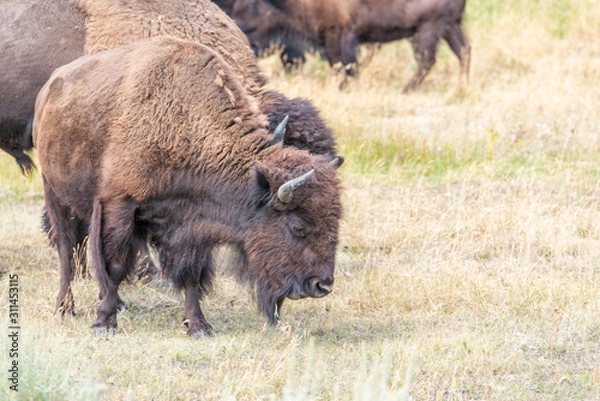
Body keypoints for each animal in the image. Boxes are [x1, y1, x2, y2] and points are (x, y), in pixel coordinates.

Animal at [32, 37, 342, 336]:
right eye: (298, 226)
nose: (322, 285)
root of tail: (49, 87)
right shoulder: (119, 203)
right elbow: (116, 264)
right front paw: (104, 323)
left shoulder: (192, 223)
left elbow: (192, 274)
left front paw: (198, 326)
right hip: (54, 192)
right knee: (66, 248)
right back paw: (65, 308)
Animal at [232, 0, 472, 92]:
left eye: (251, 4)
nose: (238, 26)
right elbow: (341, 65)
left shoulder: (340, 34)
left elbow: (345, 65)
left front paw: (344, 87)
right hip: (450, 28)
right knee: (464, 51)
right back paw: (462, 85)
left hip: (427, 29)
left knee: (427, 59)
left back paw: (406, 90)